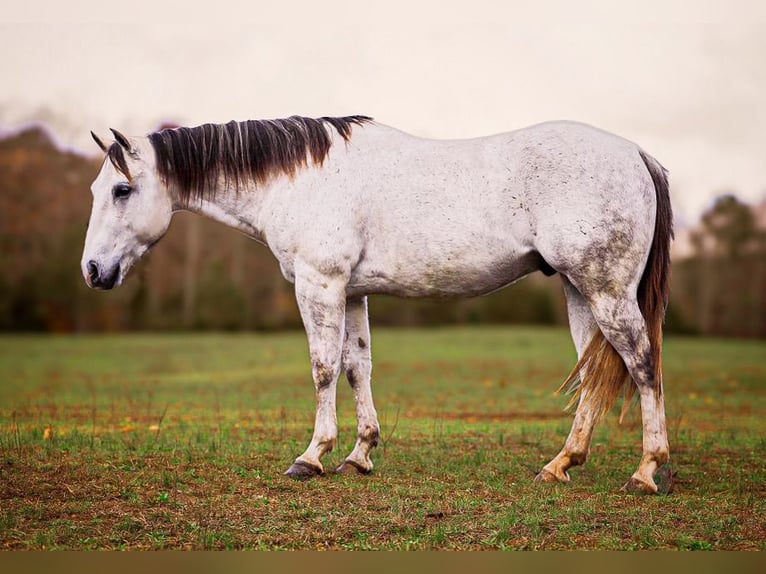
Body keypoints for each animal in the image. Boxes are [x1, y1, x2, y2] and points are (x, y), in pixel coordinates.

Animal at [84, 117, 672, 496]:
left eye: (120, 190)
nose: (92, 271)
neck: (303, 180)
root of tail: (636, 155)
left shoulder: (319, 285)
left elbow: (323, 369)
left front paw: (311, 456)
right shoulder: (351, 293)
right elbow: (356, 368)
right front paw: (359, 454)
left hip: (606, 291)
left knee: (643, 364)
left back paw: (647, 470)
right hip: (579, 291)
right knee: (596, 378)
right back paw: (560, 464)